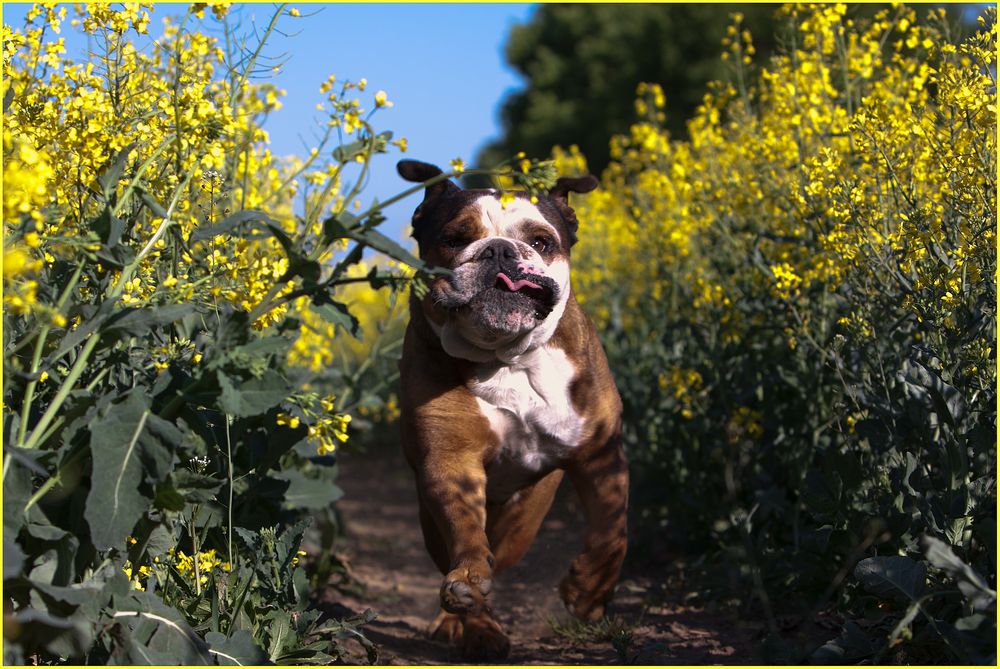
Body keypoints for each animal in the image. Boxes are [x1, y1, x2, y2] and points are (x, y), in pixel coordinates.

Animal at [396, 160, 624, 656]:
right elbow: (465, 532)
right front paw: (467, 586)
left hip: (526, 516)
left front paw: (588, 593)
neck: (508, 359)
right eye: (455, 238)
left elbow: (613, 528)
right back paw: (472, 625)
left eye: (541, 242)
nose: (499, 250)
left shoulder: (599, 451)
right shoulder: (451, 460)